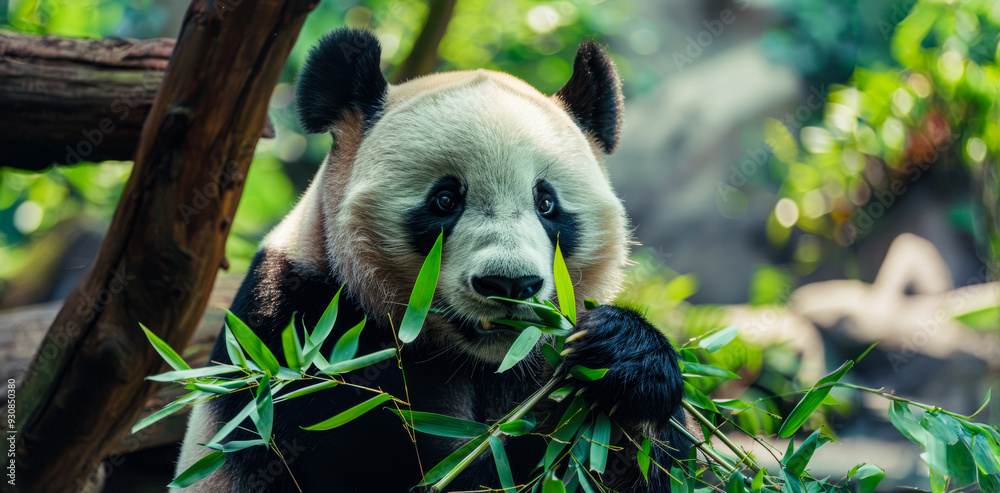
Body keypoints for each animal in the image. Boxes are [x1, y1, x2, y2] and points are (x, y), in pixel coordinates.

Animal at [175, 28, 691, 492]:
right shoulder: (301, 344)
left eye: (546, 203)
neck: (477, 359)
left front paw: (624, 360)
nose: (510, 285)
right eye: (445, 200)